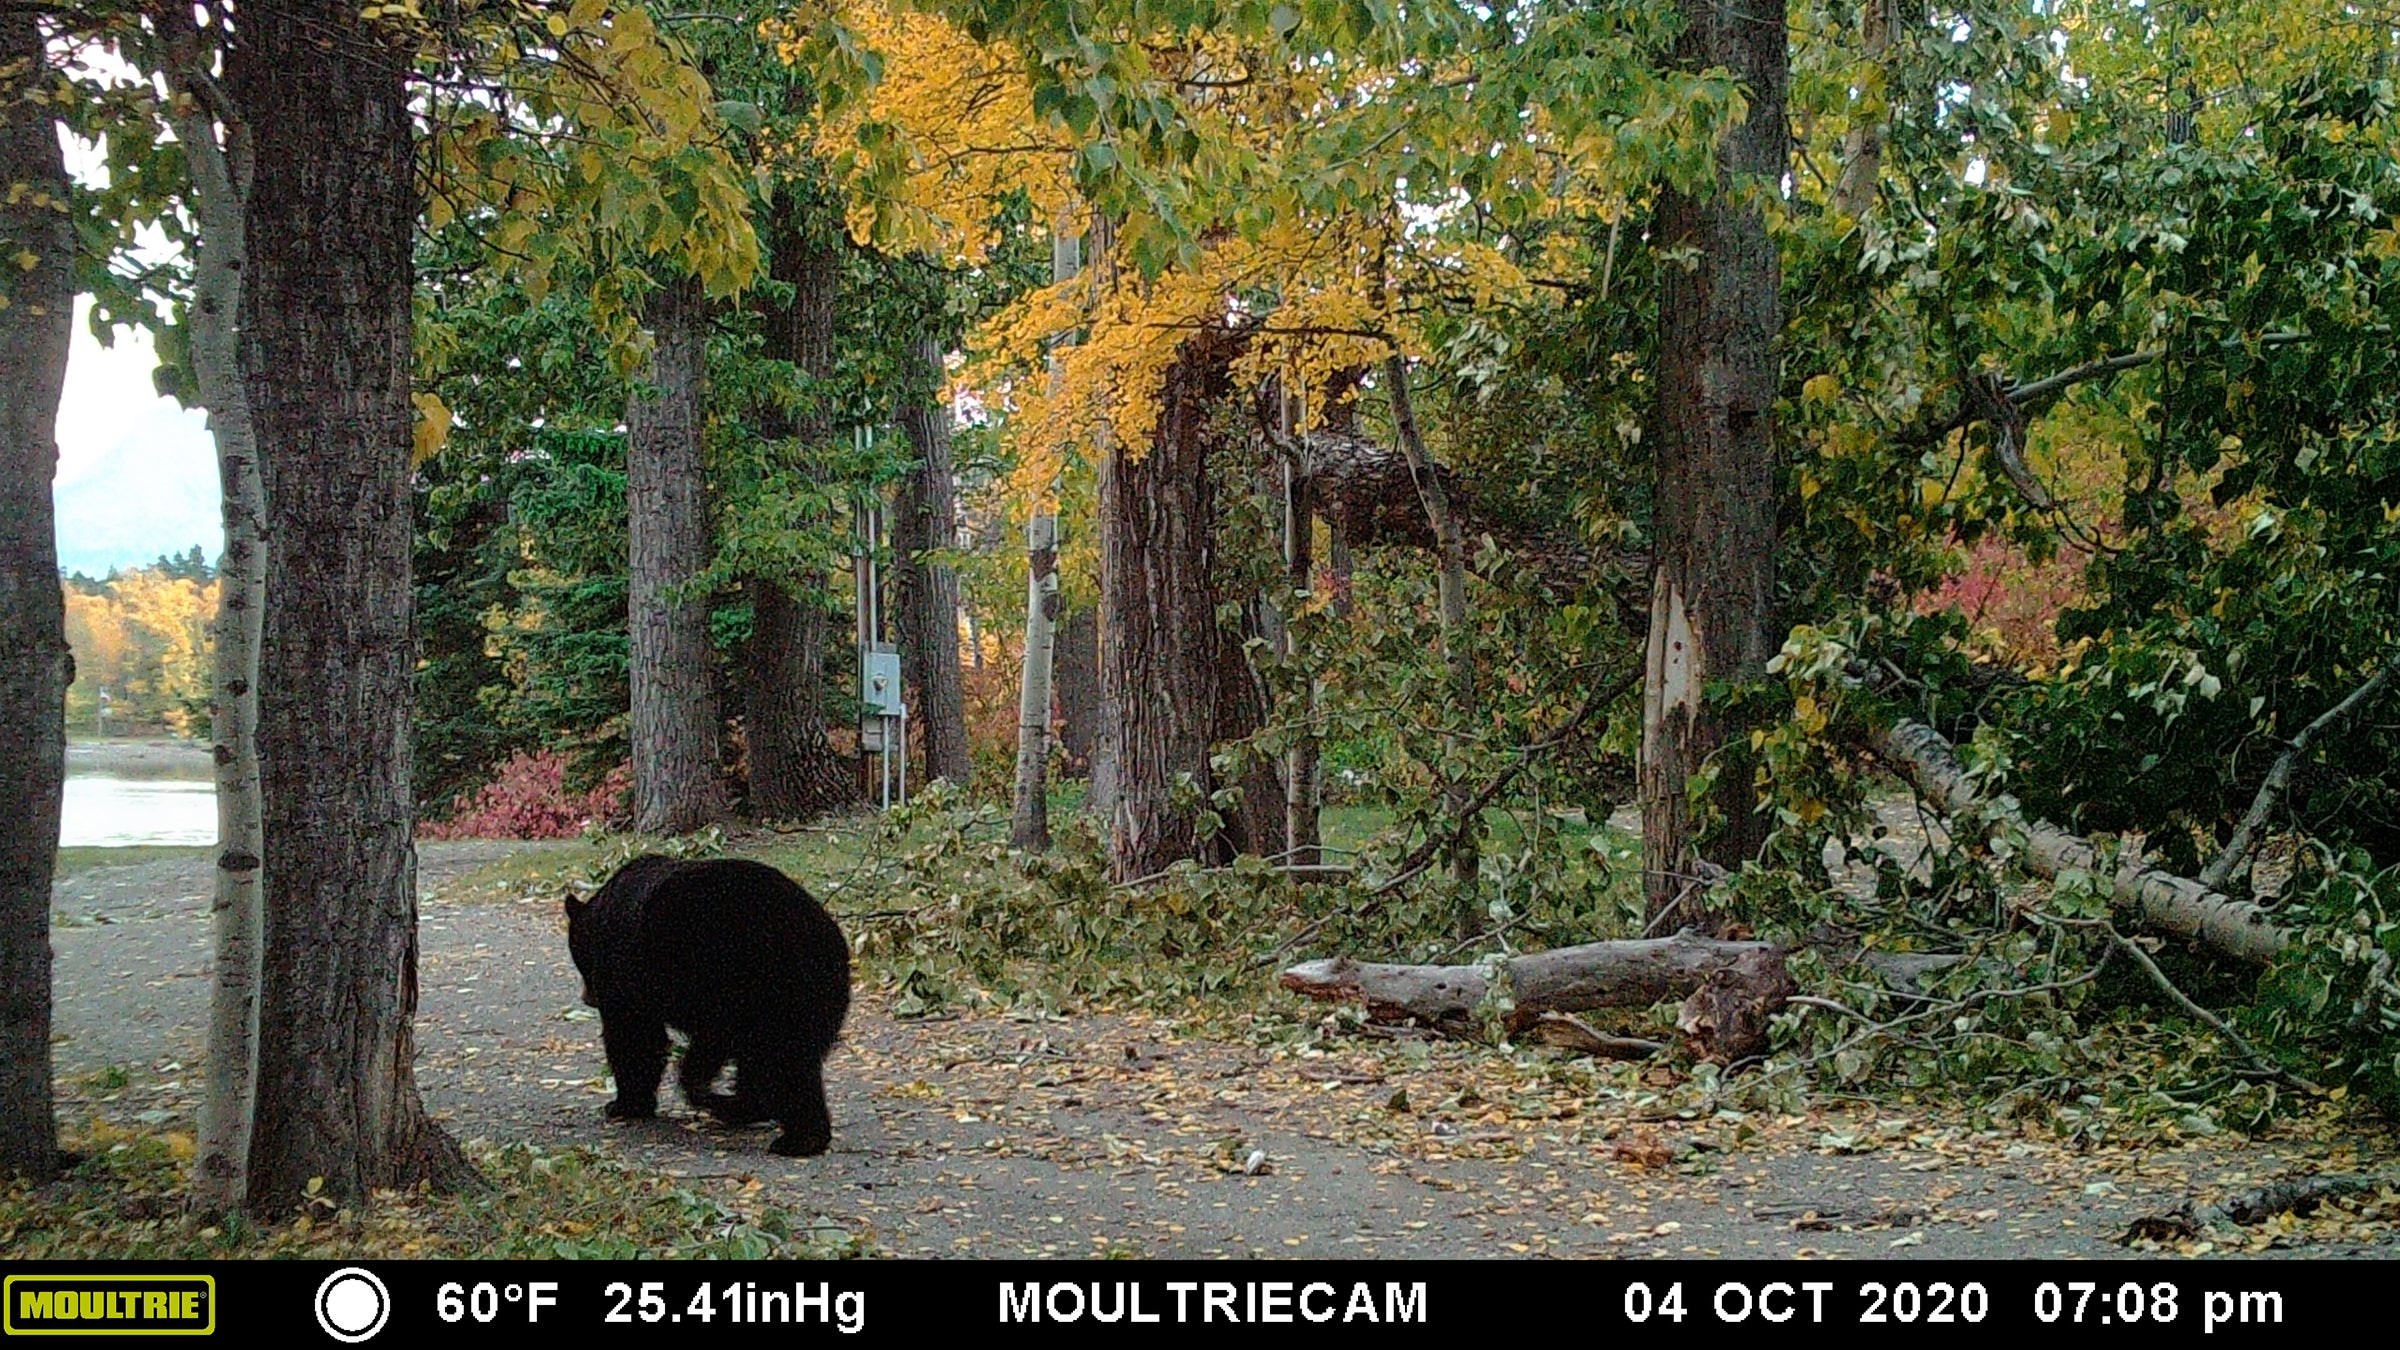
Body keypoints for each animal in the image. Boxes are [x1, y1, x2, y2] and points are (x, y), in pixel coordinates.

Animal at [565, 855, 851, 1157]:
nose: (586, 998)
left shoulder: (625, 973)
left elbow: (634, 1037)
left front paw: (626, 1104)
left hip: (751, 983)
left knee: (778, 1060)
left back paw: (792, 1137)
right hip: (811, 998)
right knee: (787, 1060)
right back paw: (756, 1113)